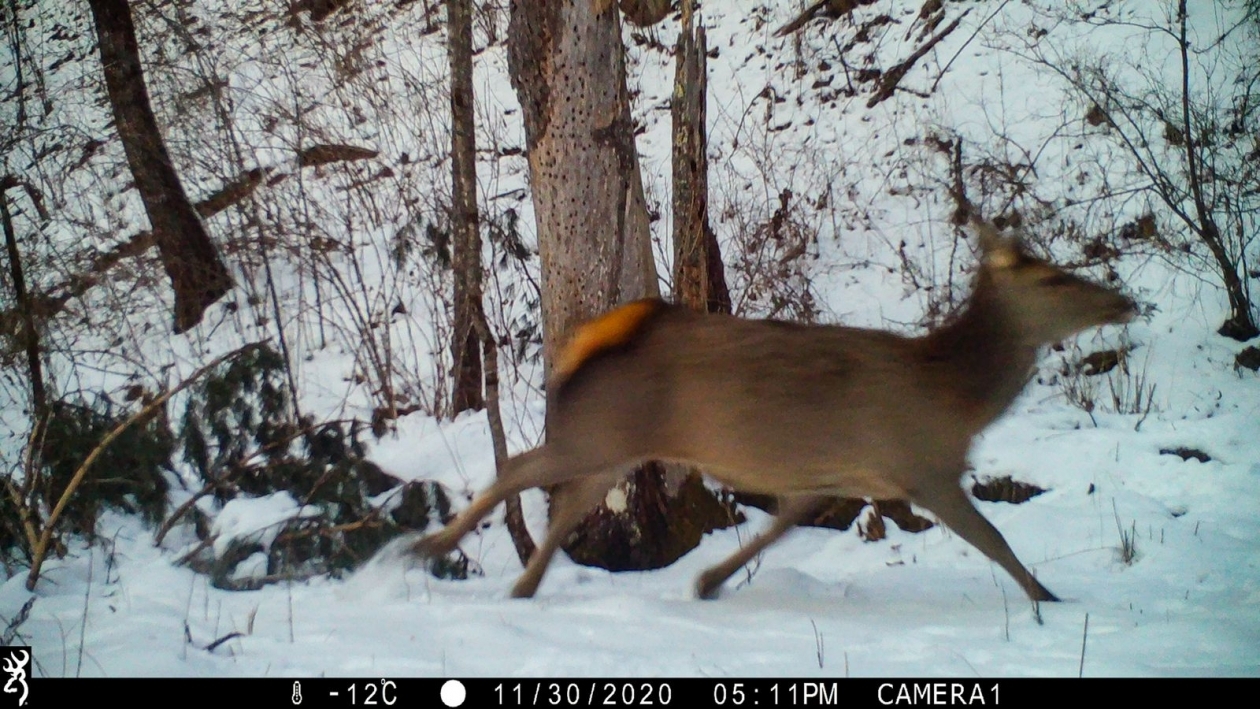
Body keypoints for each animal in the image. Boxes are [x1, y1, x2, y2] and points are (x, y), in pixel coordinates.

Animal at [408, 217, 1139, 604]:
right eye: (1053, 278)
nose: (1124, 299)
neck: (957, 399)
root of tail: (584, 342)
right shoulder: (923, 468)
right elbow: (995, 538)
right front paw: (1050, 600)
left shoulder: (836, 474)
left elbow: (783, 524)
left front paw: (708, 579)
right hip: (594, 434)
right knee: (520, 466)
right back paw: (430, 544)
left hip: (614, 441)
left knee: (566, 499)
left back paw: (523, 585)